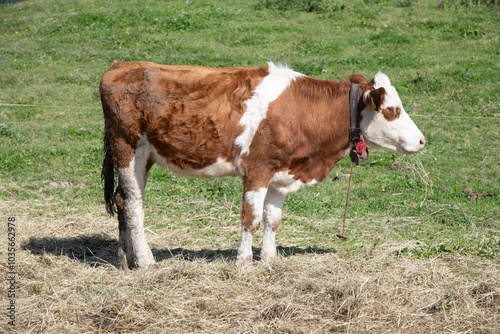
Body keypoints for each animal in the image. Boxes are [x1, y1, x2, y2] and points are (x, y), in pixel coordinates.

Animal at [101, 61, 426, 270]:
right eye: (393, 110)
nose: (422, 140)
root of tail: (121, 65)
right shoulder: (257, 170)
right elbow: (251, 219)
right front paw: (244, 263)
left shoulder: (281, 173)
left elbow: (273, 219)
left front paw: (269, 259)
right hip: (128, 148)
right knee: (134, 204)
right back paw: (145, 261)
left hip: (143, 156)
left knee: (123, 200)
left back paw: (125, 260)